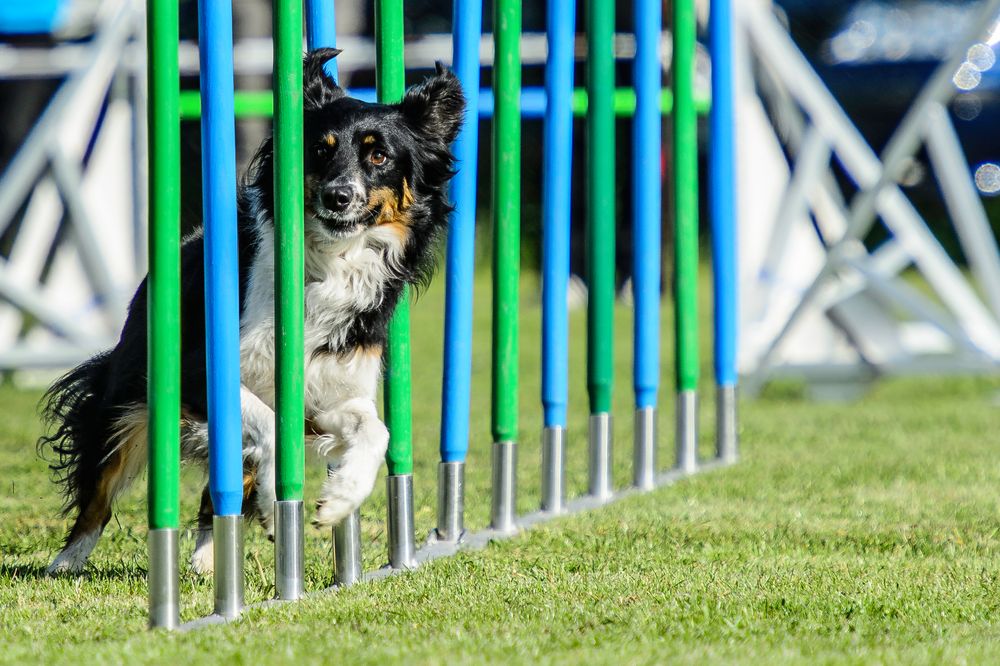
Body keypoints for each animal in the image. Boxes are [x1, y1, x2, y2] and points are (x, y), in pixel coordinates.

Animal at [37, 49, 462, 572]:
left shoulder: (330, 390)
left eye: (378, 155)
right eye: (319, 151)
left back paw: (207, 559)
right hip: (130, 397)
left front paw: (339, 500)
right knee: (100, 489)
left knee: (218, 490)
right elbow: (272, 429)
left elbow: (375, 431)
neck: (328, 265)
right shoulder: (202, 373)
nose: (337, 196)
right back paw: (67, 562)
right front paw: (276, 507)